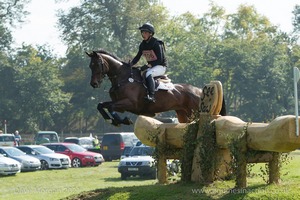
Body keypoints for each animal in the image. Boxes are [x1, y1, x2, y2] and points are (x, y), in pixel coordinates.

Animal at [85, 49, 226, 126]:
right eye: (90, 66)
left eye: (98, 64)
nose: (94, 84)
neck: (123, 78)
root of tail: (199, 90)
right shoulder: (119, 104)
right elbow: (101, 105)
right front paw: (112, 121)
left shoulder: (130, 103)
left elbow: (111, 107)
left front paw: (124, 120)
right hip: (183, 114)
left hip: (195, 112)